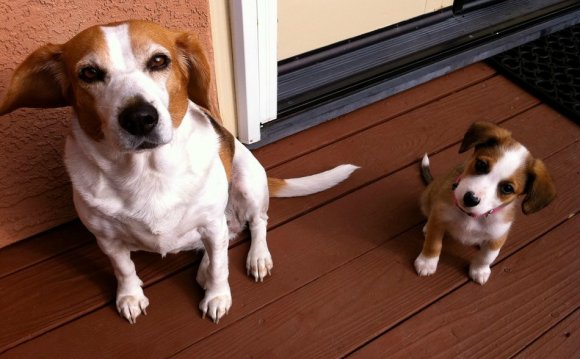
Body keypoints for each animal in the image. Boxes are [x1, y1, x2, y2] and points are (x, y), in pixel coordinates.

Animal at [0, 20, 358, 326]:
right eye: (89, 73)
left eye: (159, 61)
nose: (139, 118)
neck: (146, 171)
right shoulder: (106, 237)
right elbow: (123, 268)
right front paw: (130, 297)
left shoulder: (211, 222)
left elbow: (221, 269)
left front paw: (217, 296)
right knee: (223, 240)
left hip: (247, 181)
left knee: (255, 225)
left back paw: (256, 258)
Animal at [414, 122, 556, 286]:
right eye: (481, 164)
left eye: (507, 188)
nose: (470, 199)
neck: (471, 216)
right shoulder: (440, 218)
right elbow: (433, 244)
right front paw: (426, 263)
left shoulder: (497, 236)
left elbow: (486, 257)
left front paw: (479, 270)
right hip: (427, 200)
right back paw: (426, 227)